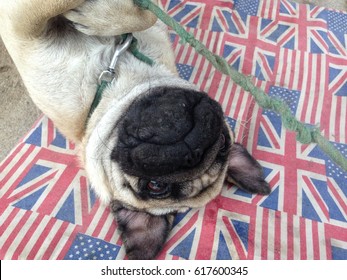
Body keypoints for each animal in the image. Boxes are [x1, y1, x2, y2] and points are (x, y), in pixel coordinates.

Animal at [0, 0, 272, 260]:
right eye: (224, 142)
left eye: (155, 186)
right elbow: (147, 17)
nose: (192, 150)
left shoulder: (24, 26)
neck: (111, 79)